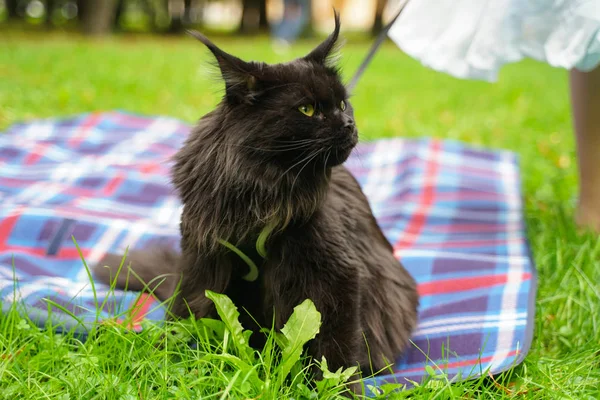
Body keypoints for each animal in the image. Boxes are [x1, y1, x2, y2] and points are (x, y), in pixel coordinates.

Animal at [95, 14, 418, 390]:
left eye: (342, 104)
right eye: (307, 109)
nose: (349, 124)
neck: (263, 189)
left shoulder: (336, 275)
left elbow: (334, 350)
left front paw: (334, 391)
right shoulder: (203, 259)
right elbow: (186, 313)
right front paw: (165, 361)